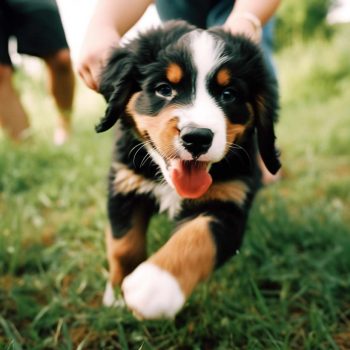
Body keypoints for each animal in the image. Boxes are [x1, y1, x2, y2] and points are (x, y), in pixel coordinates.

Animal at [96, 19, 282, 320]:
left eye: (228, 94)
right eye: (164, 89)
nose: (197, 137)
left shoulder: (228, 203)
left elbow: (197, 238)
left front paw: (154, 285)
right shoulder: (126, 185)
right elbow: (124, 245)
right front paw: (116, 293)